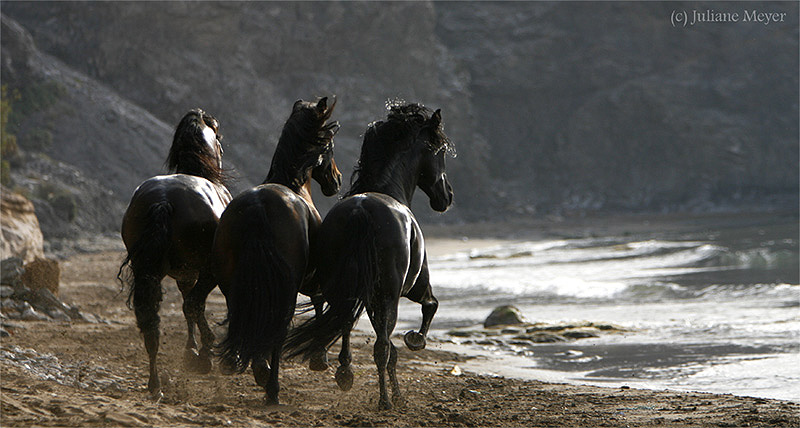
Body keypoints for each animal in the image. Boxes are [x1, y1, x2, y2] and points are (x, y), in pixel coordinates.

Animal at [117, 108, 233, 400]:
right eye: (219, 137)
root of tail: (163, 200)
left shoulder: (184, 274)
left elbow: (187, 307)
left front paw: (190, 349)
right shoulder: (202, 272)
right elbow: (193, 305)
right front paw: (199, 351)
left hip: (149, 273)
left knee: (151, 319)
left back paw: (155, 383)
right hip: (207, 270)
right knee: (193, 303)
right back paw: (204, 355)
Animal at [212, 98, 340, 406]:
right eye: (330, 145)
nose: (337, 181)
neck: (292, 183)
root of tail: (259, 207)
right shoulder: (311, 277)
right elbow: (319, 300)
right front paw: (319, 357)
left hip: (232, 283)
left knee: (244, 316)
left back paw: (246, 364)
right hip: (286, 288)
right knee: (278, 328)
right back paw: (271, 387)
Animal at [284, 102, 454, 410]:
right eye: (441, 151)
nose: (446, 197)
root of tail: (361, 211)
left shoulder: (371, 298)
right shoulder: (414, 288)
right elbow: (430, 306)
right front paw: (415, 341)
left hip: (346, 290)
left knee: (346, 325)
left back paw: (345, 372)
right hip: (389, 295)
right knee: (381, 346)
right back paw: (384, 400)